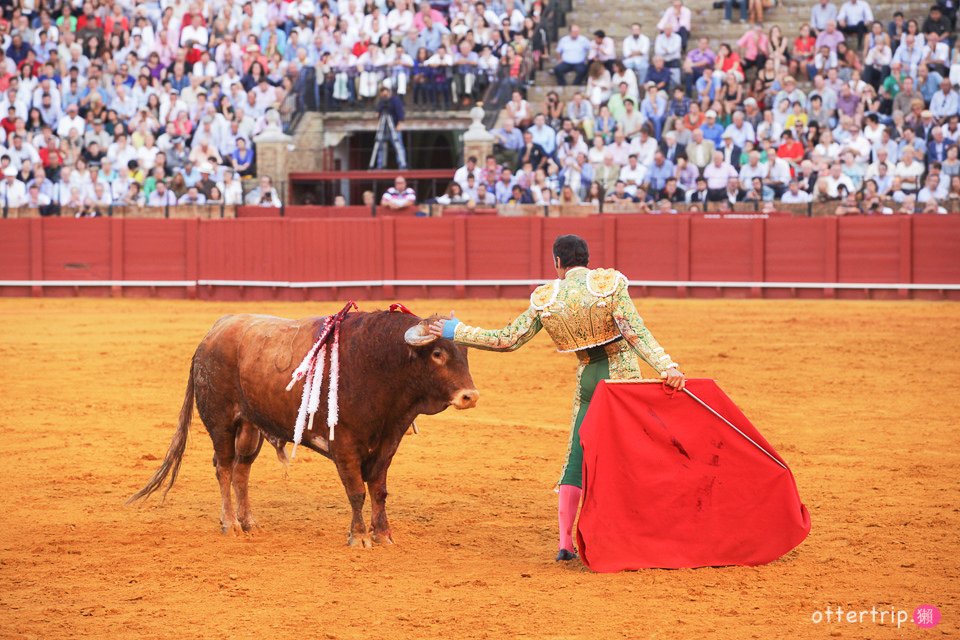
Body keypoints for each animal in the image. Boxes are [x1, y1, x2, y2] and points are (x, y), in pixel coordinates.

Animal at [127, 310, 480, 544]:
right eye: (437, 353)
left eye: (464, 353)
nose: (470, 396)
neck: (379, 362)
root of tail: (212, 334)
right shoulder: (345, 443)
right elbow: (355, 491)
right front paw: (359, 537)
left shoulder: (388, 440)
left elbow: (378, 490)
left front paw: (383, 535)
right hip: (221, 422)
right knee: (224, 468)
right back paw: (230, 523)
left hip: (250, 427)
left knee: (241, 470)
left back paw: (249, 521)